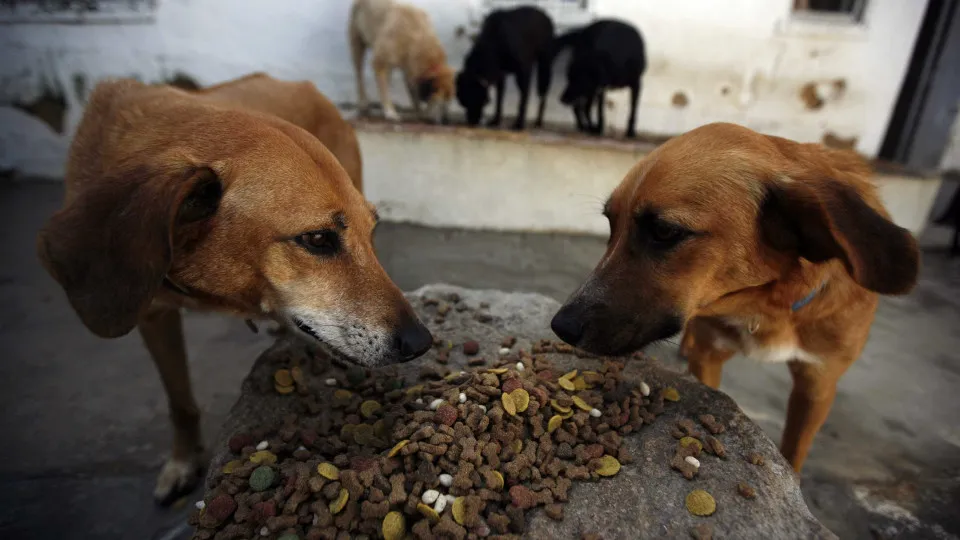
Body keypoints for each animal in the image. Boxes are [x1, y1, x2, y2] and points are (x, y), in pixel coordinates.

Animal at [34, 76, 432, 502]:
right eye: (318, 239)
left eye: (370, 232)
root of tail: (304, 84)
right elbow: (180, 402)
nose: (421, 342)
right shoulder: (152, 313)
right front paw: (183, 461)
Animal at [552, 122, 920, 472]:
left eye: (664, 231)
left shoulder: (819, 383)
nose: (561, 326)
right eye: (611, 224)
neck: (768, 308)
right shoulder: (710, 355)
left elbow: (795, 450)